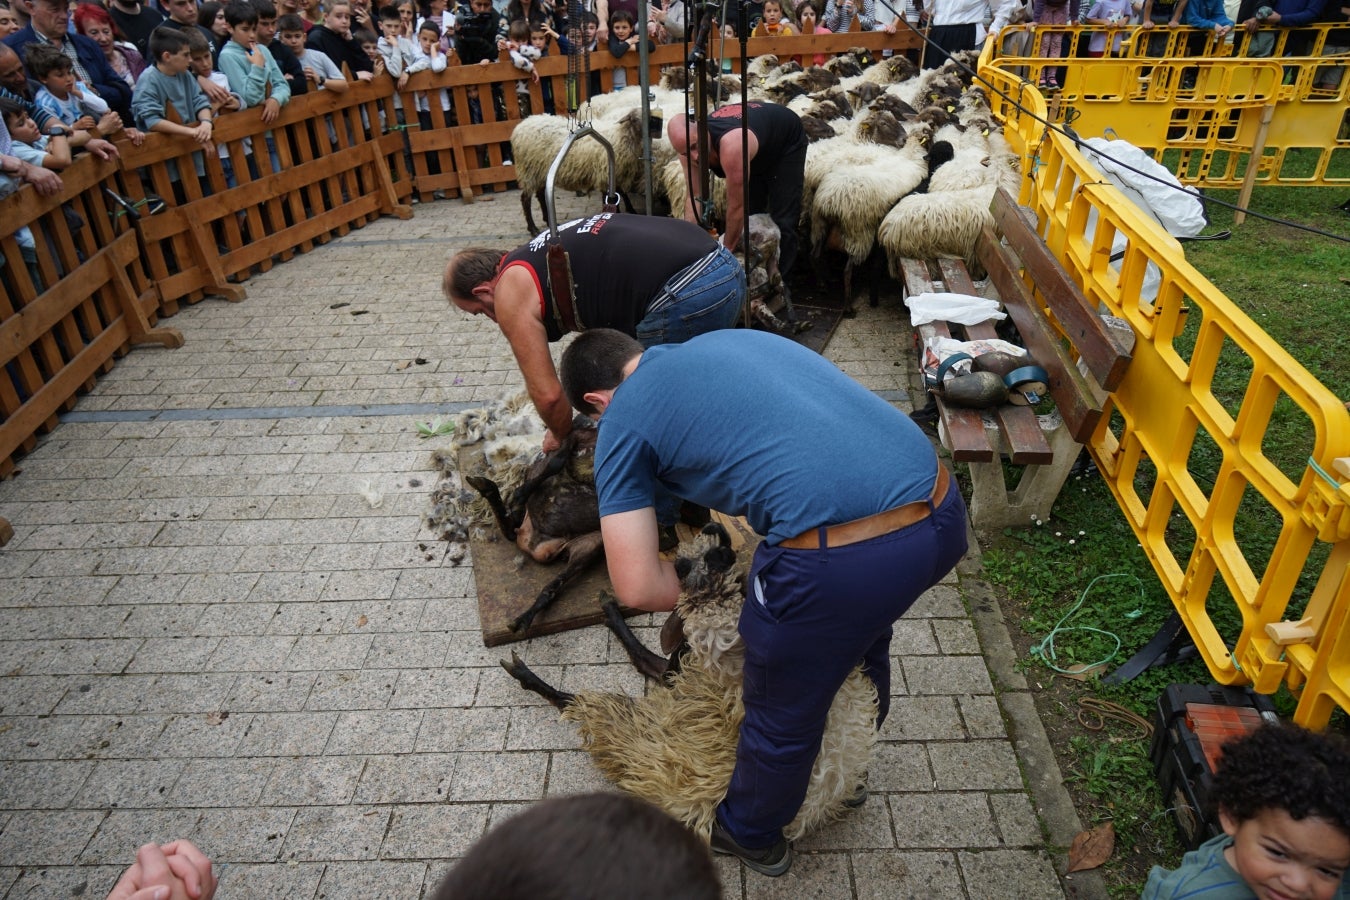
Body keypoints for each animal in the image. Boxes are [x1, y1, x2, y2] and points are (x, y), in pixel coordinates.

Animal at [499, 520, 874, 847]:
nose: (714, 538)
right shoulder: (683, 670)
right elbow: (649, 656)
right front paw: (610, 609)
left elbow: (645, 655)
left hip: (640, 735)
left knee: (577, 701)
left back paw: (524, 672)